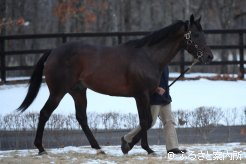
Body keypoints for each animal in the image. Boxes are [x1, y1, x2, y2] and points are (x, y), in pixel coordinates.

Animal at [16, 14, 212, 154]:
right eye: (195, 34)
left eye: (204, 33)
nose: (209, 57)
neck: (148, 56)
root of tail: (53, 51)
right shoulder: (140, 95)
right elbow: (145, 121)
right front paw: (136, 147)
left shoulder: (146, 95)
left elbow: (146, 121)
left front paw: (137, 146)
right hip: (58, 92)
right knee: (44, 113)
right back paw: (41, 148)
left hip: (78, 91)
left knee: (82, 118)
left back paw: (98, 148)